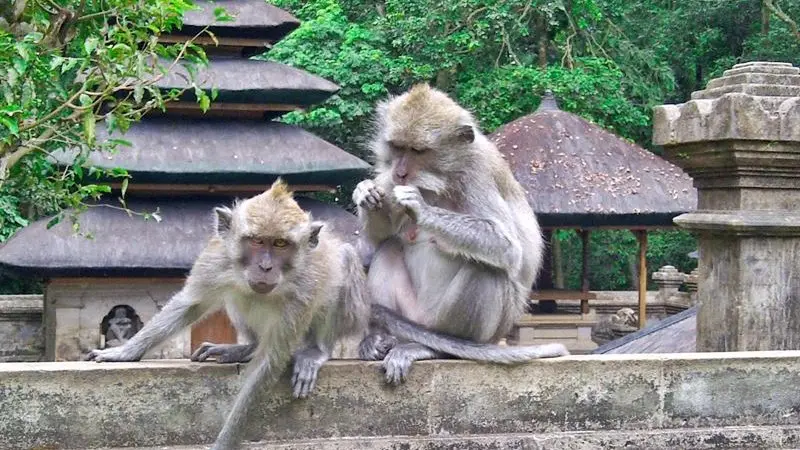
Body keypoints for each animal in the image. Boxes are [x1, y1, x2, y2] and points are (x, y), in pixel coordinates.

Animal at [86, 179, 369, 450]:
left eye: (280, 244)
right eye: (256, 241)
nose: (265, 267)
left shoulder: (304, 289)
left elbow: (269, 360)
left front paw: (225, 440)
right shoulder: (217, 259)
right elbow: (190, 304)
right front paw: (123, 351)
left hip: (355, 314)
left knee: (344, 259)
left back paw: (315, 351)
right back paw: (246, 348)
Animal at [353, 84, 569, 385]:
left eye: (418, 150)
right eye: (398, 147)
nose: (401, 172)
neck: (442, 179)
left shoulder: (477, 174)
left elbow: (507, 246)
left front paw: (420, 207)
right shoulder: (387, 179)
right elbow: (378, 239)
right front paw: (366, 195)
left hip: (469, 325)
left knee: (486, 269)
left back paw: (440, 348)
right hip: (412, 314)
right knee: (389, 249)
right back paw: (381, 339)